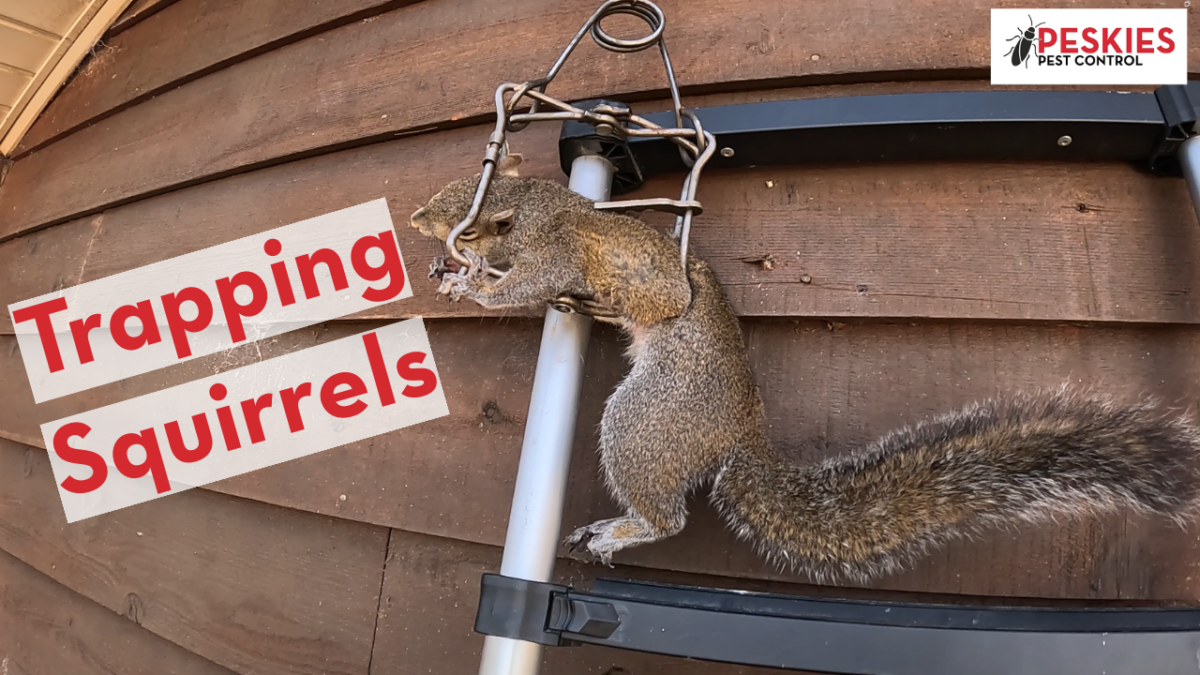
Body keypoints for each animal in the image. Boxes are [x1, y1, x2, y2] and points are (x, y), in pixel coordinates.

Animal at [408, 154, 1200, 581]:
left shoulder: (560, 256)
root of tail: (740, 434)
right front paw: (449, 273)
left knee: (668, 515)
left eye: (476, 219)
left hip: (645, 421)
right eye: (458, 183)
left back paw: (625, 530)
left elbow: (526, 286)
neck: (551, 210)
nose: (421, 220)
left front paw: (471, 283)